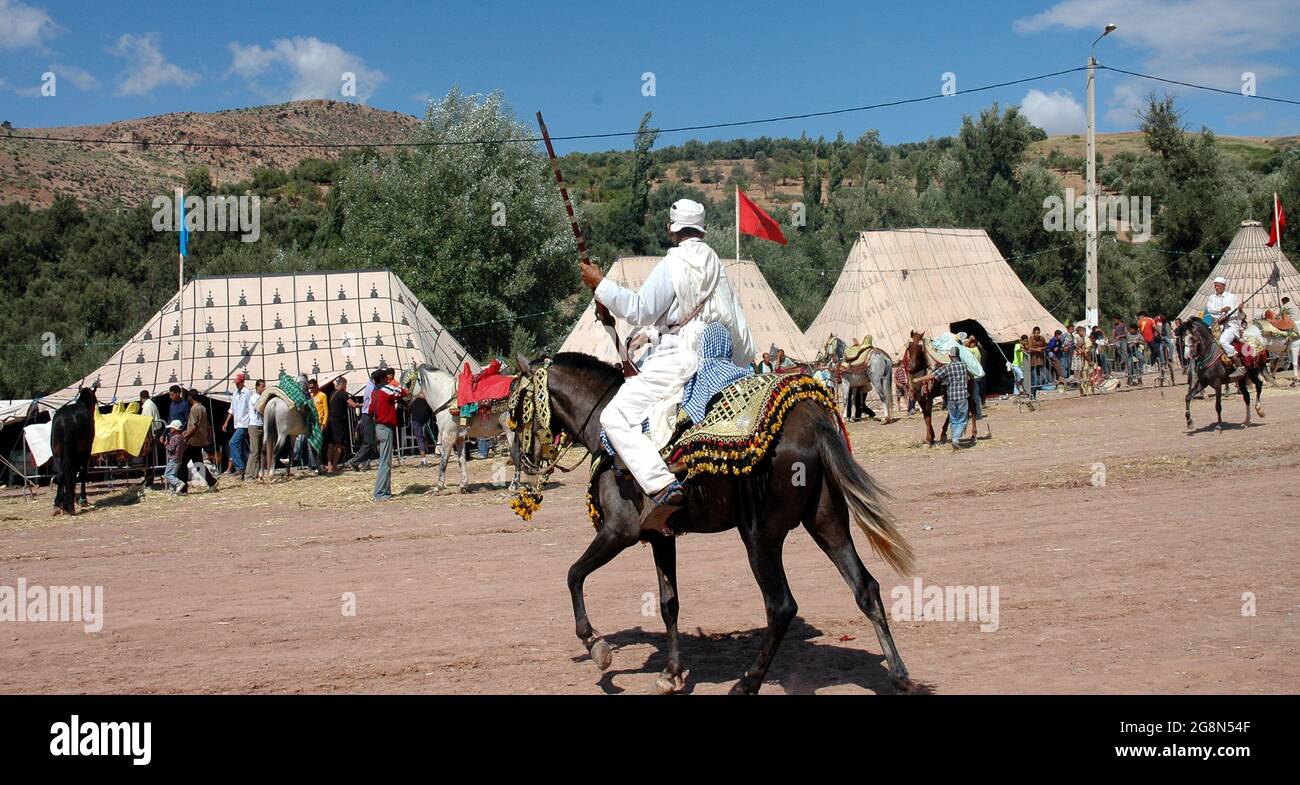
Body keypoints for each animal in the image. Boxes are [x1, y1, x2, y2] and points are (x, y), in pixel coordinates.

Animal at [410, 363, 522, 491]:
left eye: (407, 380)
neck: (446, 397)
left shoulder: (448, 436)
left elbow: (444, 461)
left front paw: (438, 486)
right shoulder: (459, 437)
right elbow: (461, 460)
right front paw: (463, 485)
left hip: (510, 431)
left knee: (516, 454)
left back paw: (514, 485)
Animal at [506, 353, 915, 696]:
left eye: (518, 408)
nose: (518, 461)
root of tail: (812, 421)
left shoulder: (619, 532)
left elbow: (573, 575)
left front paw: (596, 646)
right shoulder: (661, 536)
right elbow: (668, 603)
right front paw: (671, 673)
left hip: (760, 537)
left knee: (781, 606)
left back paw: (747, 683)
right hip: (827, 522)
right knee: (865, 588)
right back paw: (899, 676)